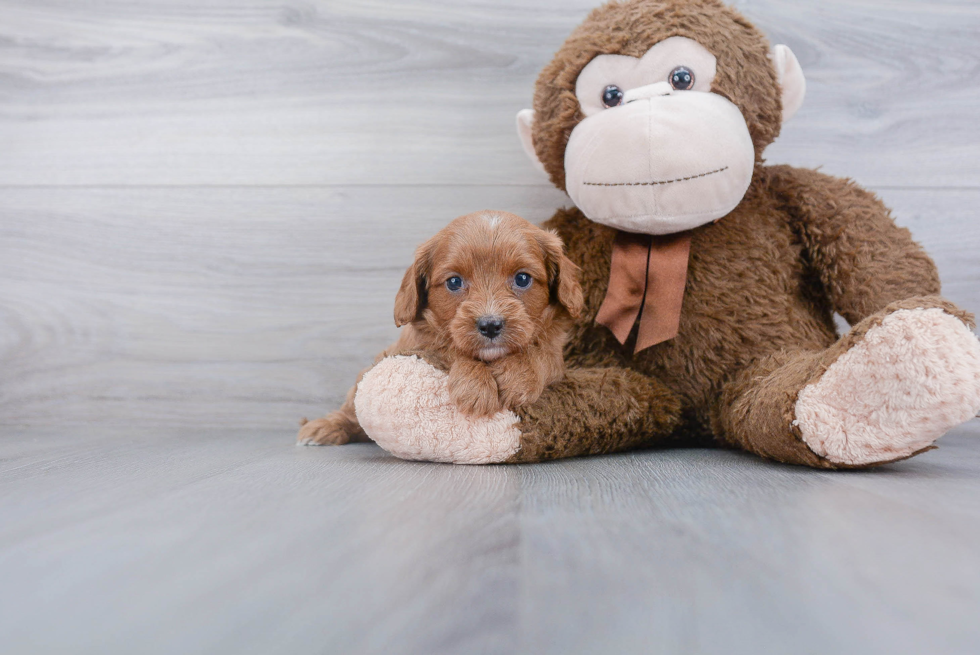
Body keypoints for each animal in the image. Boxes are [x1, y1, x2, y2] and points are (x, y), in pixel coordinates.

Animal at [294, 210, 580, 446]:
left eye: (522, 278)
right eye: (454, 282)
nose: (490, 325)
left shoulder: (556, 356)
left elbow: (540, 352)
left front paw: (519, 374)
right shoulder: (423, 343)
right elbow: (450, 347)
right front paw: (474, 387)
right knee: (351, 411)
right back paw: (324, 427)